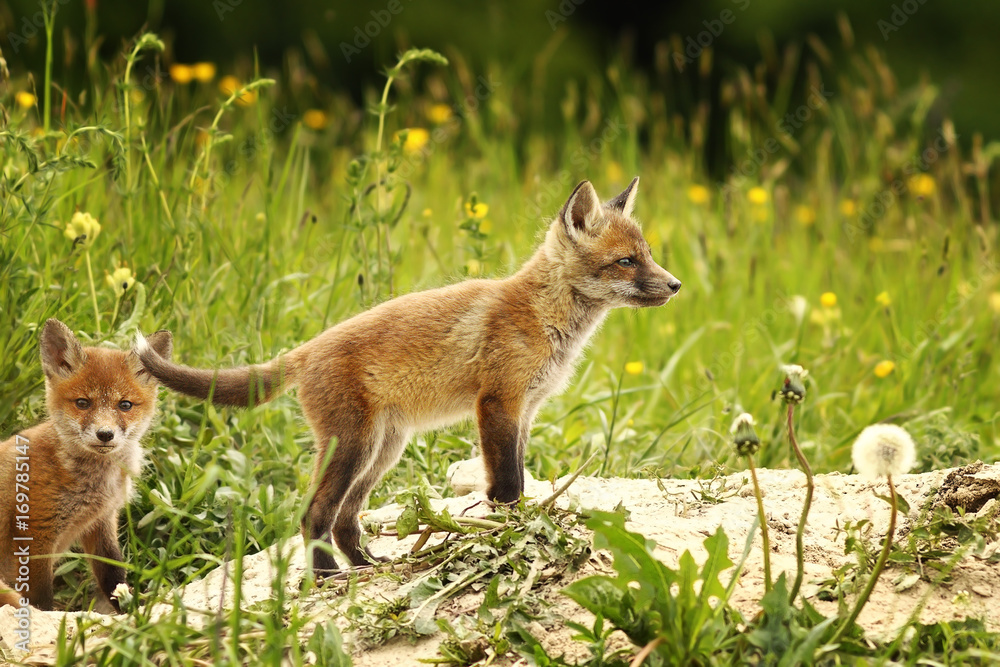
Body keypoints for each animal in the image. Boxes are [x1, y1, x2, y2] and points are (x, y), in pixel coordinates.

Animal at [0, 319, 172, 612]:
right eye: (82, 403)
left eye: (125, 405)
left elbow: (114, 575)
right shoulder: (35, 532)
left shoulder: (102, 521)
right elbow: (41, 599)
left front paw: (130, 612)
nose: (105, 434)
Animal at [136, 177, 681, 574]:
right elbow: (506, 484)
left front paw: (519, 525)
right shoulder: (497, 403)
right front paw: (510, 533)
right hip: (352, 446)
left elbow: (520, 477)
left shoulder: (525, 411)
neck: (543, 316)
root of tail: (307, 348)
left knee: (346, 521)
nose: (676, 285)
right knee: (314, 515)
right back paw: (328, 576)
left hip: (382, 451)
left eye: (648, 255)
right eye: (626, 261)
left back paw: (367, 565)